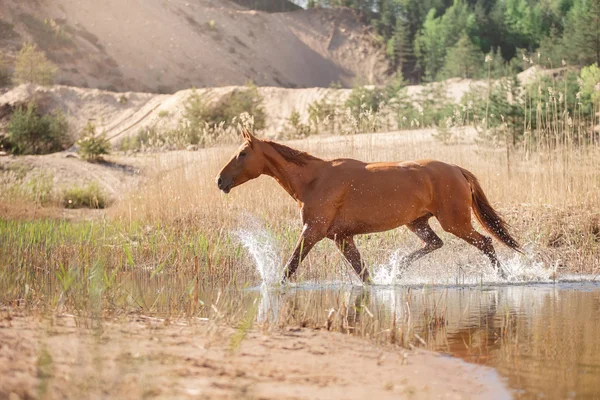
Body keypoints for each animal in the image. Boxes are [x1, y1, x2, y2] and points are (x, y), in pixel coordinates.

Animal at [217, 130, 520, 282]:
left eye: (242, 153)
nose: (220, 180)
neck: (314, 179)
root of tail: (457, 169)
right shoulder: (342, 237)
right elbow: (363, 274)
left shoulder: (313, 231)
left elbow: (290, 267)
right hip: (418, 222)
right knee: (435, 243)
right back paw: (397, 270)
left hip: (456, 222)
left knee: (485, 243)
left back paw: (504, 277)